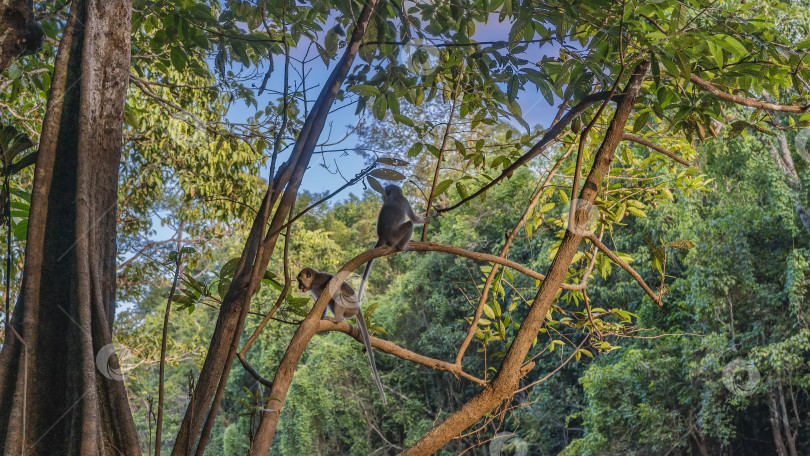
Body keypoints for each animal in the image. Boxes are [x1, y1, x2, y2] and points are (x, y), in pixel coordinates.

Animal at [296, 266, 386, 404]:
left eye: (300, 280)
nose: (299, 287)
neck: (314, 281)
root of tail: (357, 308)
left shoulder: (322, 282)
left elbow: (335, 288)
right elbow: (321, 307)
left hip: (349, 306)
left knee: (338, 296)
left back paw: (337, 320)